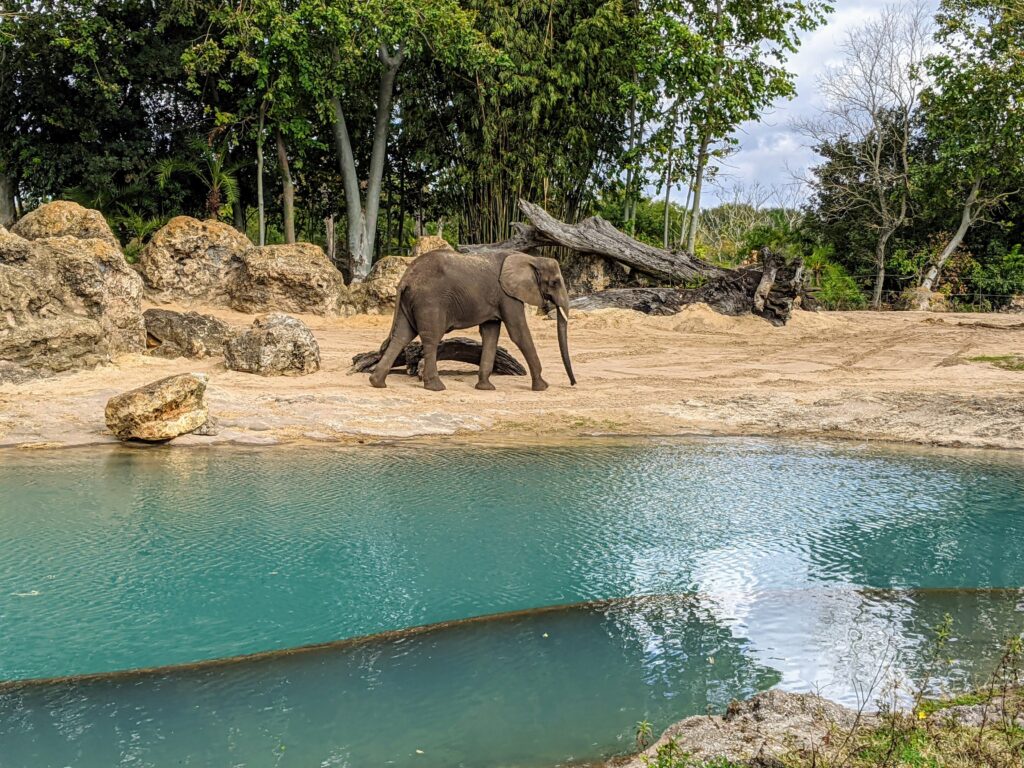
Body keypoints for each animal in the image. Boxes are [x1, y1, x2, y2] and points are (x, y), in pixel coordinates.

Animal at [368, 249, 577, 393]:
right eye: (555, 282)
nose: (573, 383)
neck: (530, 258)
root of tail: (405, 278)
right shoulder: (507, 296)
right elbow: (518, 333)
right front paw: (542, 387)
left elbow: (491, 334)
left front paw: (486, 388)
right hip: (429, 301)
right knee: (431, 338)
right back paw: (436, 387)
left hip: (411, 301)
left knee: (402, 335)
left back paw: (376, 382)